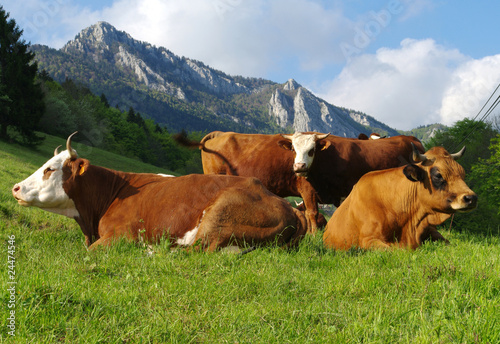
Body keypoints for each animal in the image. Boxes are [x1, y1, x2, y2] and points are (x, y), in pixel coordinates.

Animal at [178, 131, 424, 234]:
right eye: (294, 150)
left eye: (312, 149)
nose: (298, 167)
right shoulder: (308, 189)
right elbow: (313, 214)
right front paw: (313, 236)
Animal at [322, 144, 478, 251]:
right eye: (438, 175)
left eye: (462, 173)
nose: (471, 198)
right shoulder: (368, 240)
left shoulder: (432, 230)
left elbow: (449, 244)